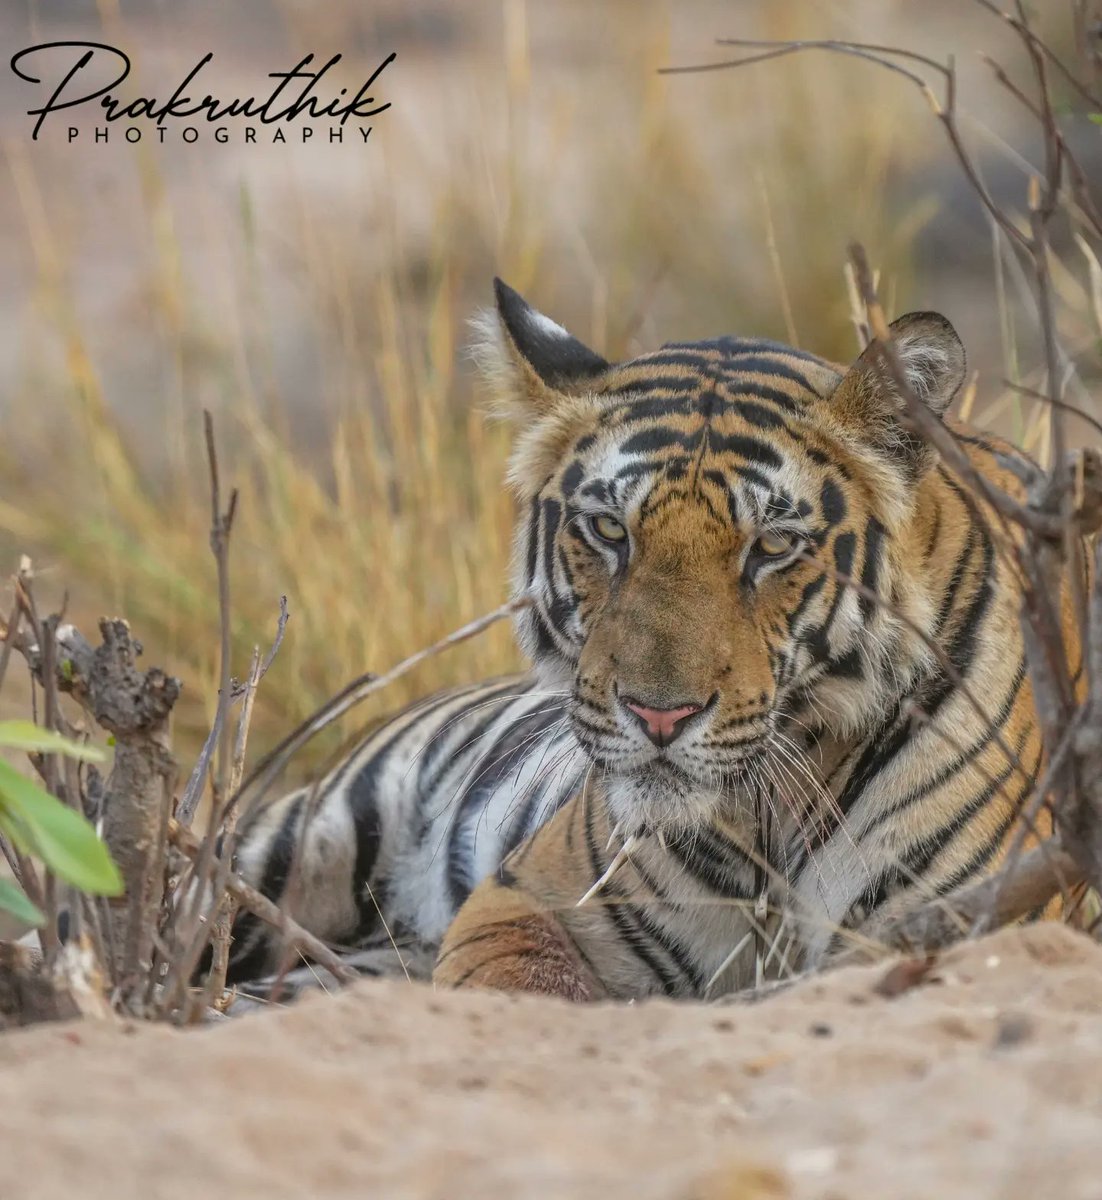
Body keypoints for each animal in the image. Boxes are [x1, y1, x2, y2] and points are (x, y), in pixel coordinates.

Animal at [224, 277, 1082, 1002]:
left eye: (773, 546)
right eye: (610, 530)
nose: (658, 715)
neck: (766, 823)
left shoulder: (973, 920)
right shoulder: (522, 899)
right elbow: (522, 991)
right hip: (301, 841)